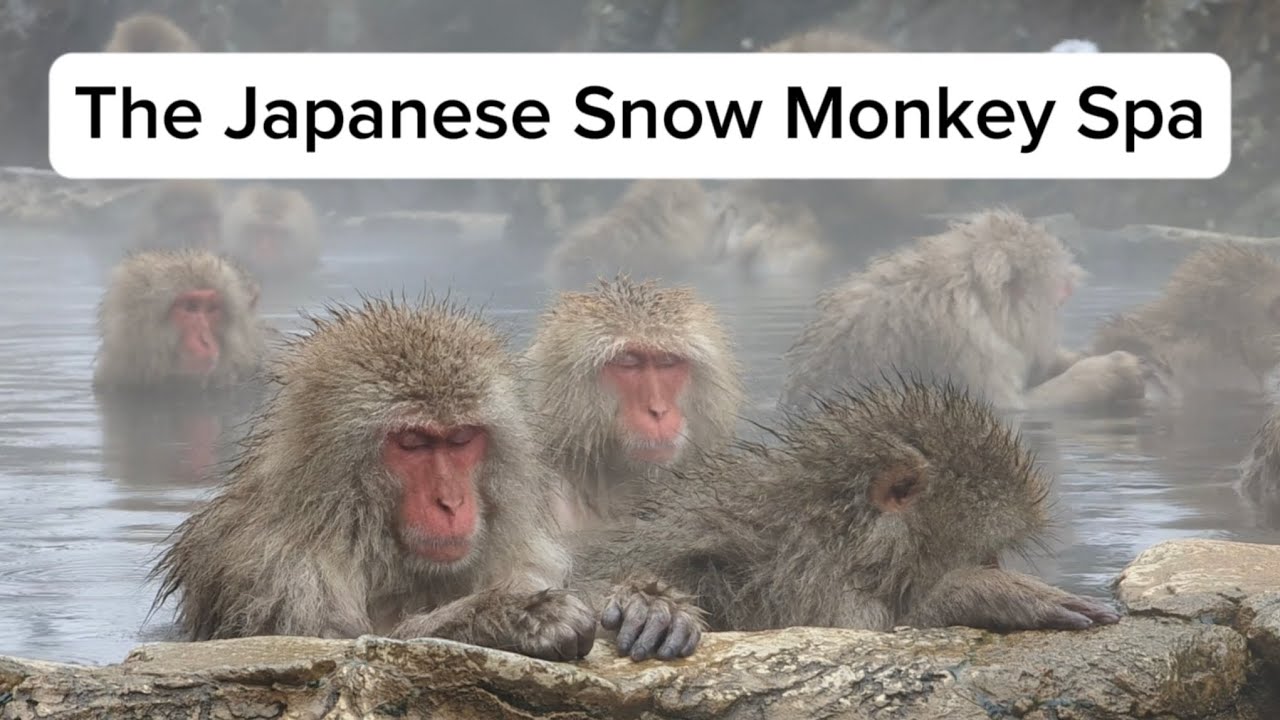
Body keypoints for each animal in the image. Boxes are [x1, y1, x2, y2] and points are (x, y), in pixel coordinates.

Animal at [149, 296, 596, 661]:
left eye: (460, 439)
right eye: (413, 442)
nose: (450, 502)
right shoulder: (277, 574)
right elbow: (333, 644)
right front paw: (515, 616)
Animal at [779, 208, 1147, 414]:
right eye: (1057, 302)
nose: (1053, 329)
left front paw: (1077, 356)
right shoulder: (967, 349)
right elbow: (1011, 409)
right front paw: (1114, 371)